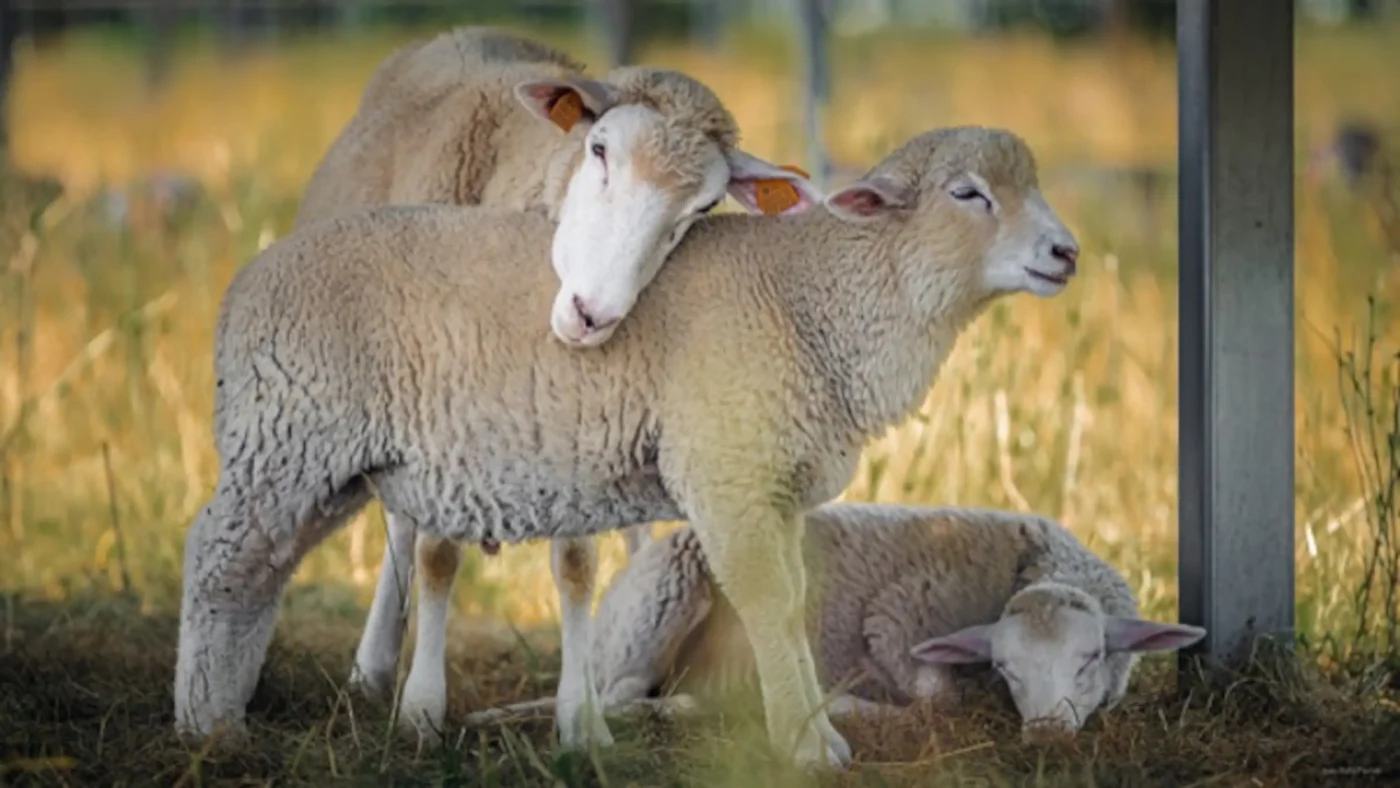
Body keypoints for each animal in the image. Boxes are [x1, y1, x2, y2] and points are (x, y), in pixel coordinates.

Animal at [172, 125, 1080, 768]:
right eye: (968, 193)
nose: (1066, 252)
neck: (819, 299)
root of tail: (242, 287)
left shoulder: (773, 483)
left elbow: (793, 603)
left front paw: (812, 728)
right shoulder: (725, 471)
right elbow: (767, 604)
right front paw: (806, 744)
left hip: (317, 460)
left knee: (257, 573)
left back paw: (227, 705)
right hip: (288, 434)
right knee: (216, 559)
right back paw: (201, 722)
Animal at [293, 26, 824, 736]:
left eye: (704, 205)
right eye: (599, 150)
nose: (593, 315)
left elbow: (576, 565)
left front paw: (583, 722)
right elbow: (435, 554)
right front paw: (423, 709)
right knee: (402, 529)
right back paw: (374, 667)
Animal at [464, 504, 1207, 744]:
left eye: (1090, 659)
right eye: (1004, 666)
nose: (1048, 734)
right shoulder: (895, 620)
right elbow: (932, 705)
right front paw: (845, 706)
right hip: (656, 609)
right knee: (622, 700)